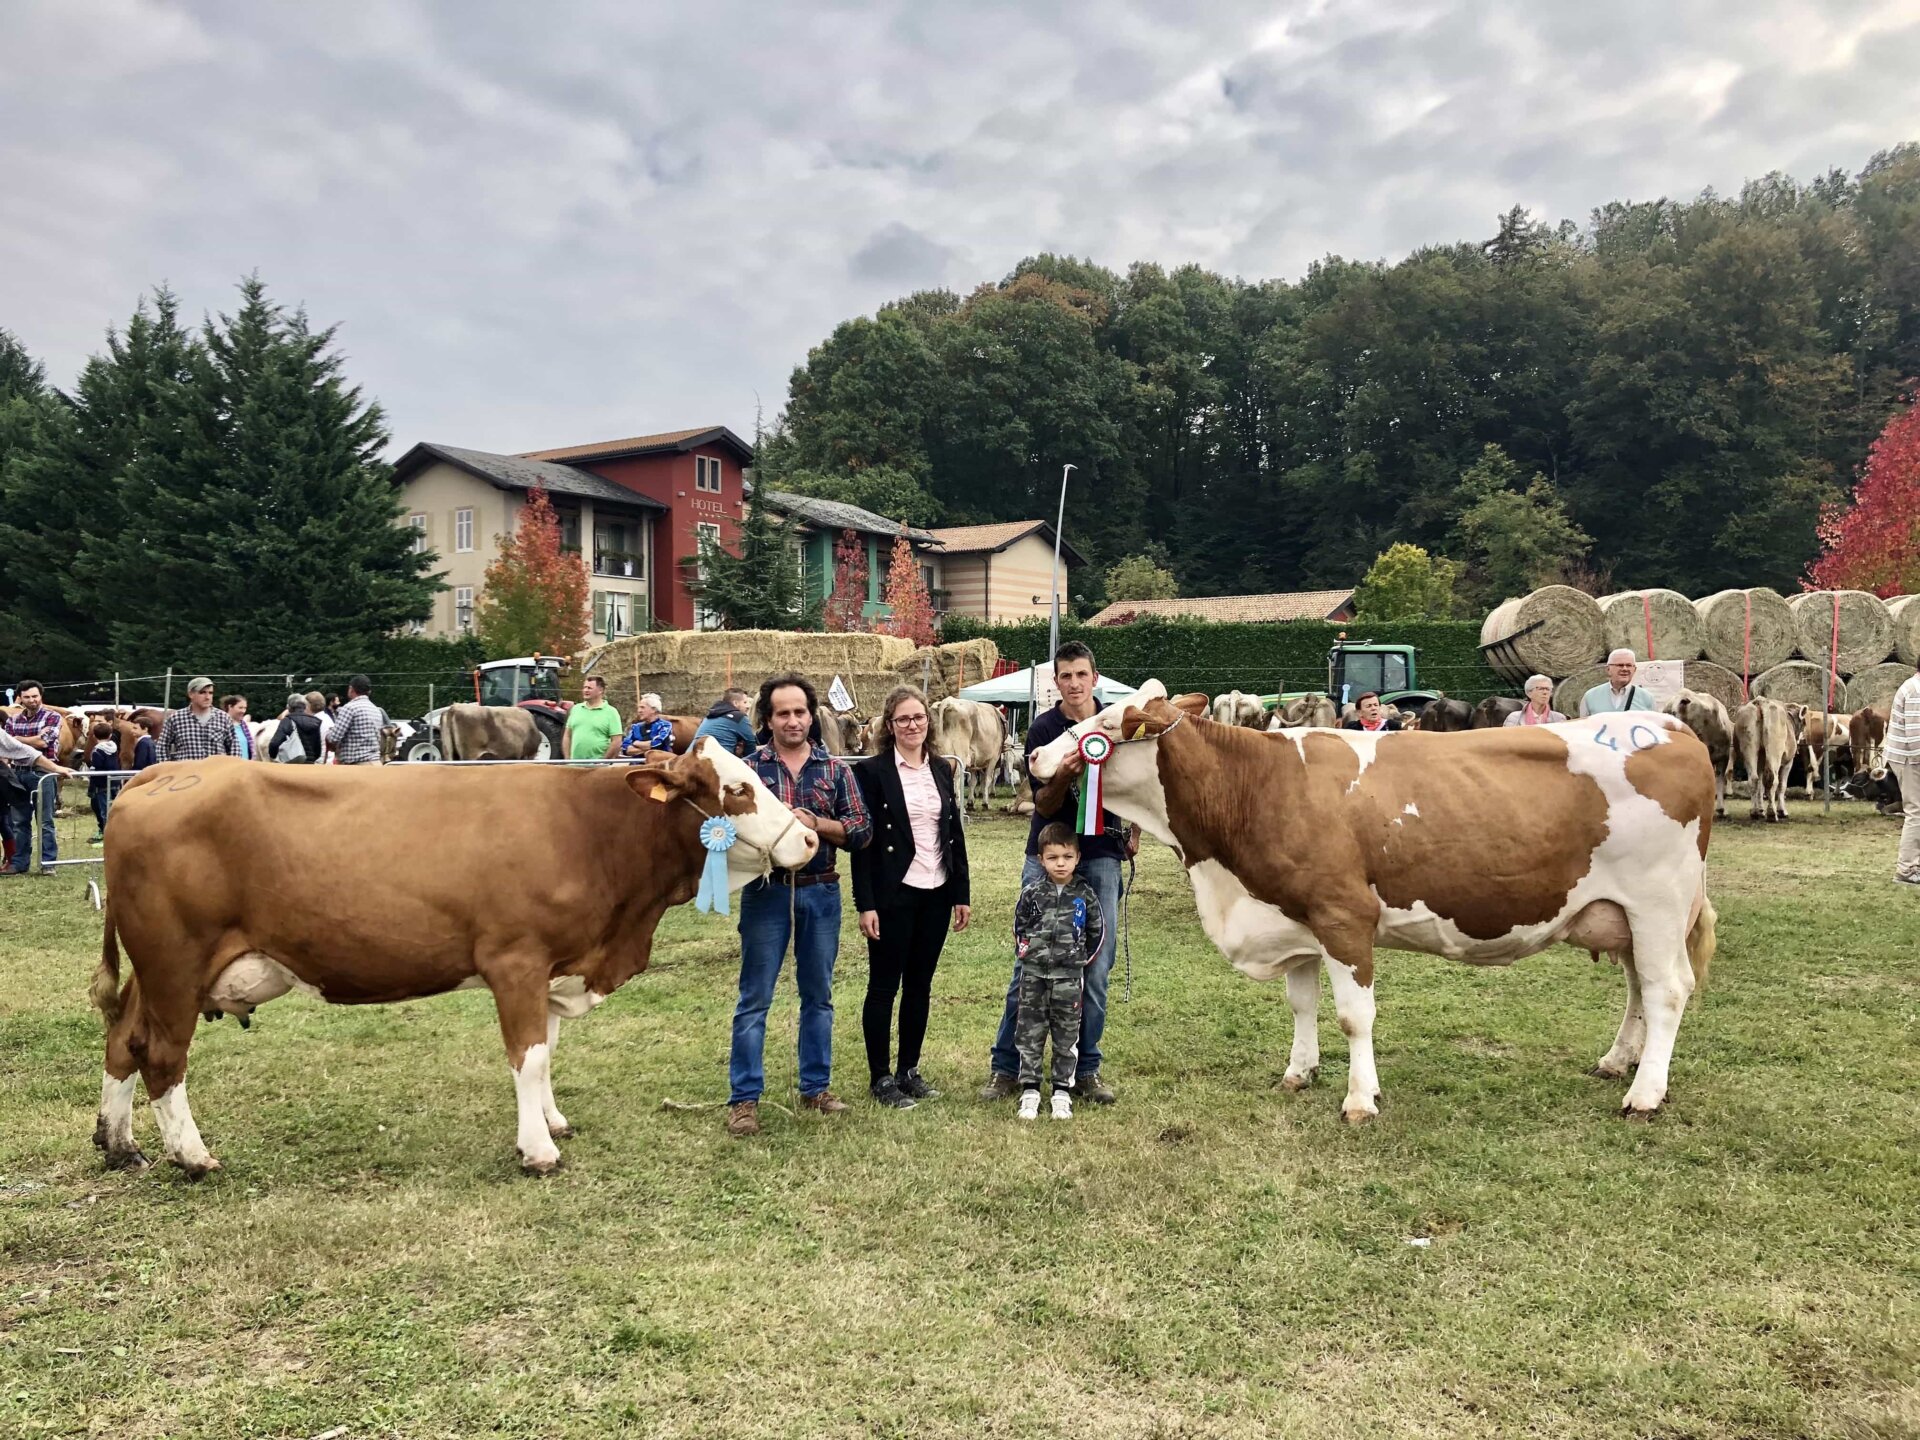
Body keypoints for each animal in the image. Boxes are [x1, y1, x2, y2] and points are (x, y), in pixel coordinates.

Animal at [91, 744, 810, 1182]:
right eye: (737, 788)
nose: (806, 836)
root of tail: (160, 775)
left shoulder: (555, 965)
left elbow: (548, 1049)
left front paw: (552, 1120)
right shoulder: (515, 960)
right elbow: (529, 1056)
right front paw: (538, 1150)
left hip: (154, 969)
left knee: (125, 1040)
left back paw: (120, 1143)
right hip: (175, 961)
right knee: (163, 1055)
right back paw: (193, 1157)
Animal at [1036, 683, 1728, 1128]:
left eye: (1104, 731)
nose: (1039, 754)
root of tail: (1673, 727)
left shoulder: (1344, 917)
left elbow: (1353, 1016)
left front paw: (1359, 1101)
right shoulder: (1295, 918)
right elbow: (1302, 1004)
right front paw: (1299, 1072)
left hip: (1659, 903)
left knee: (1667, 990)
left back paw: (1645, 1094)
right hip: (1625, 915)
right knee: (1639, 988)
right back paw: (1618, 1062)